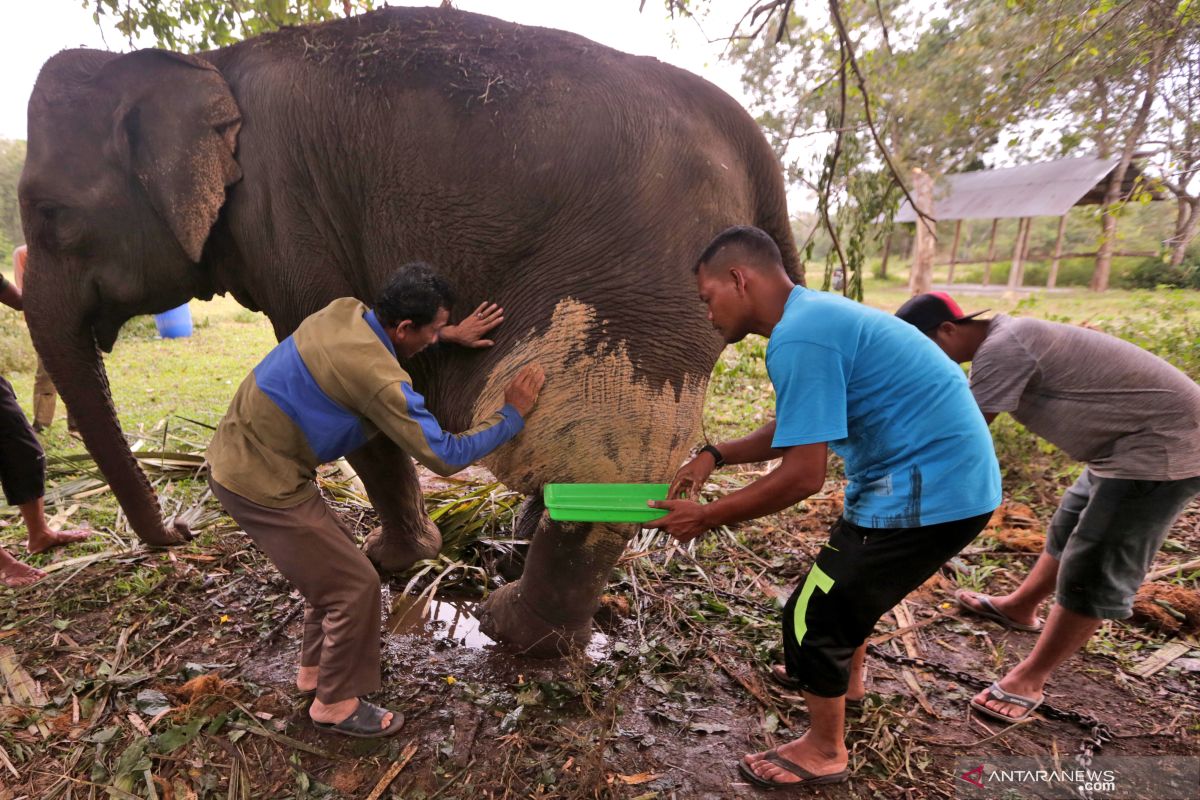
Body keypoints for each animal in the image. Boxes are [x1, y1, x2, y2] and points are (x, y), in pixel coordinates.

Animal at [18, 6, 801, 657]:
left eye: (52, 215)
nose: (180, 533)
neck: (207, 64)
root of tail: (757, 148)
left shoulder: (285, 217)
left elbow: (339, 379)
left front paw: (391, 559)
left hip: (648, 281)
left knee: (602, 451)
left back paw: (514, 629)